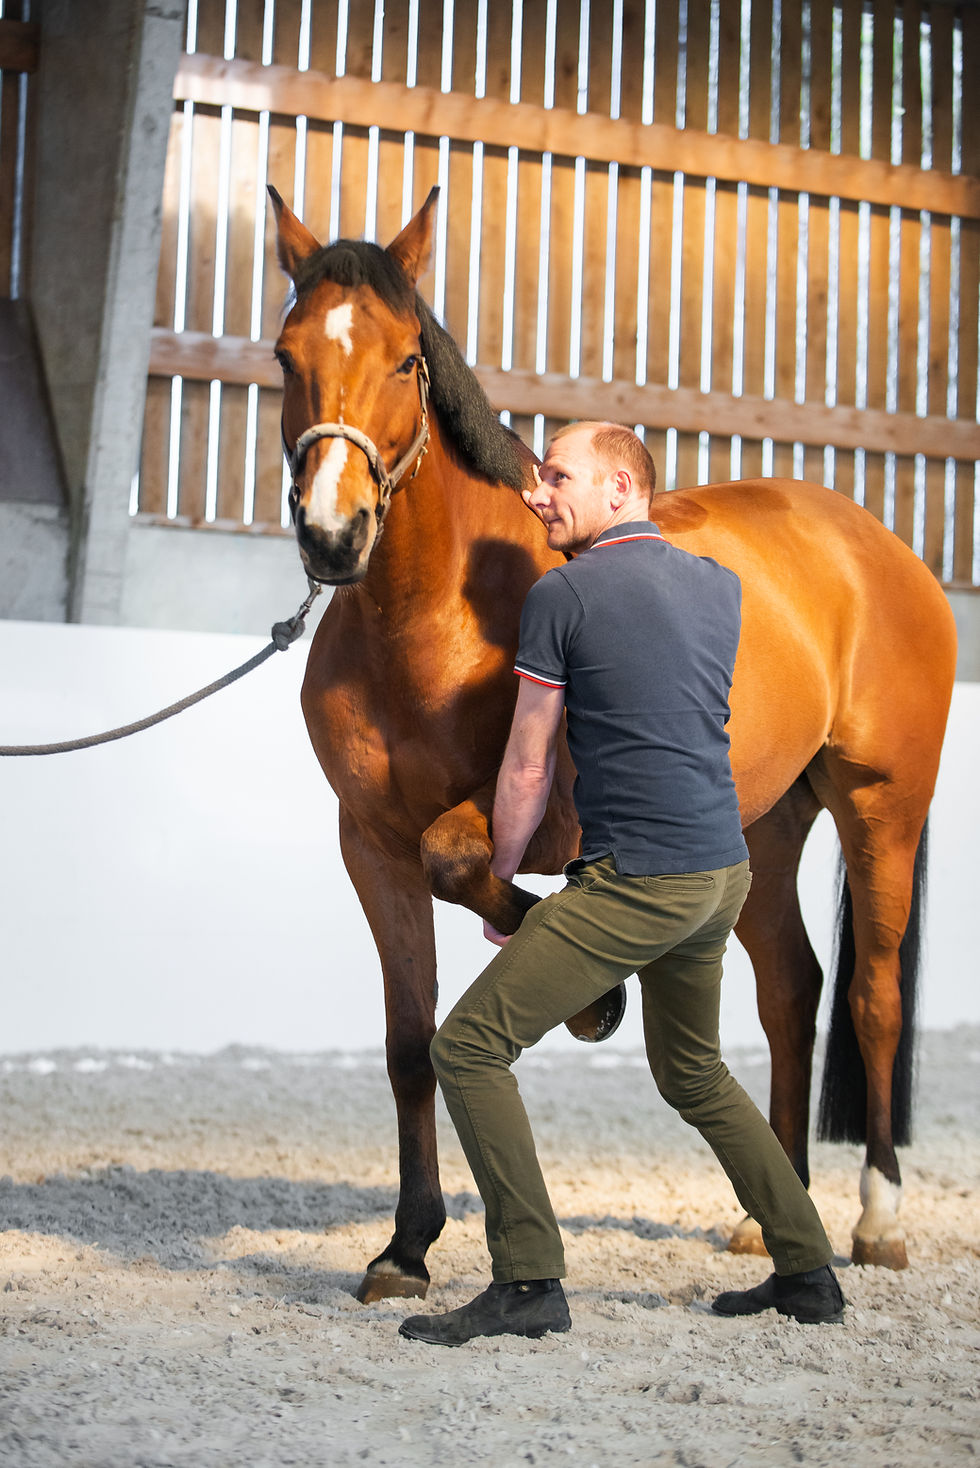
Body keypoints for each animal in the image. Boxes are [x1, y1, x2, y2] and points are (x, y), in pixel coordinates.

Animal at [268, 185, 957, 1303]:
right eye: (286, 356)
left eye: (409, 359)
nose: (334, 533)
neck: (436, 618)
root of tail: (881, 549)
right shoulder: (368, 846)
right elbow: (410, 1041)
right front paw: (406, 1248)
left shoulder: (545, 820)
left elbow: (460, 856)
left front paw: (593, 1003)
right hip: (762, 828)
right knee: (792, 990)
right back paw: (771, 1221)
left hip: (878, 808)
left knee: (874, 996)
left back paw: (877, 1221)